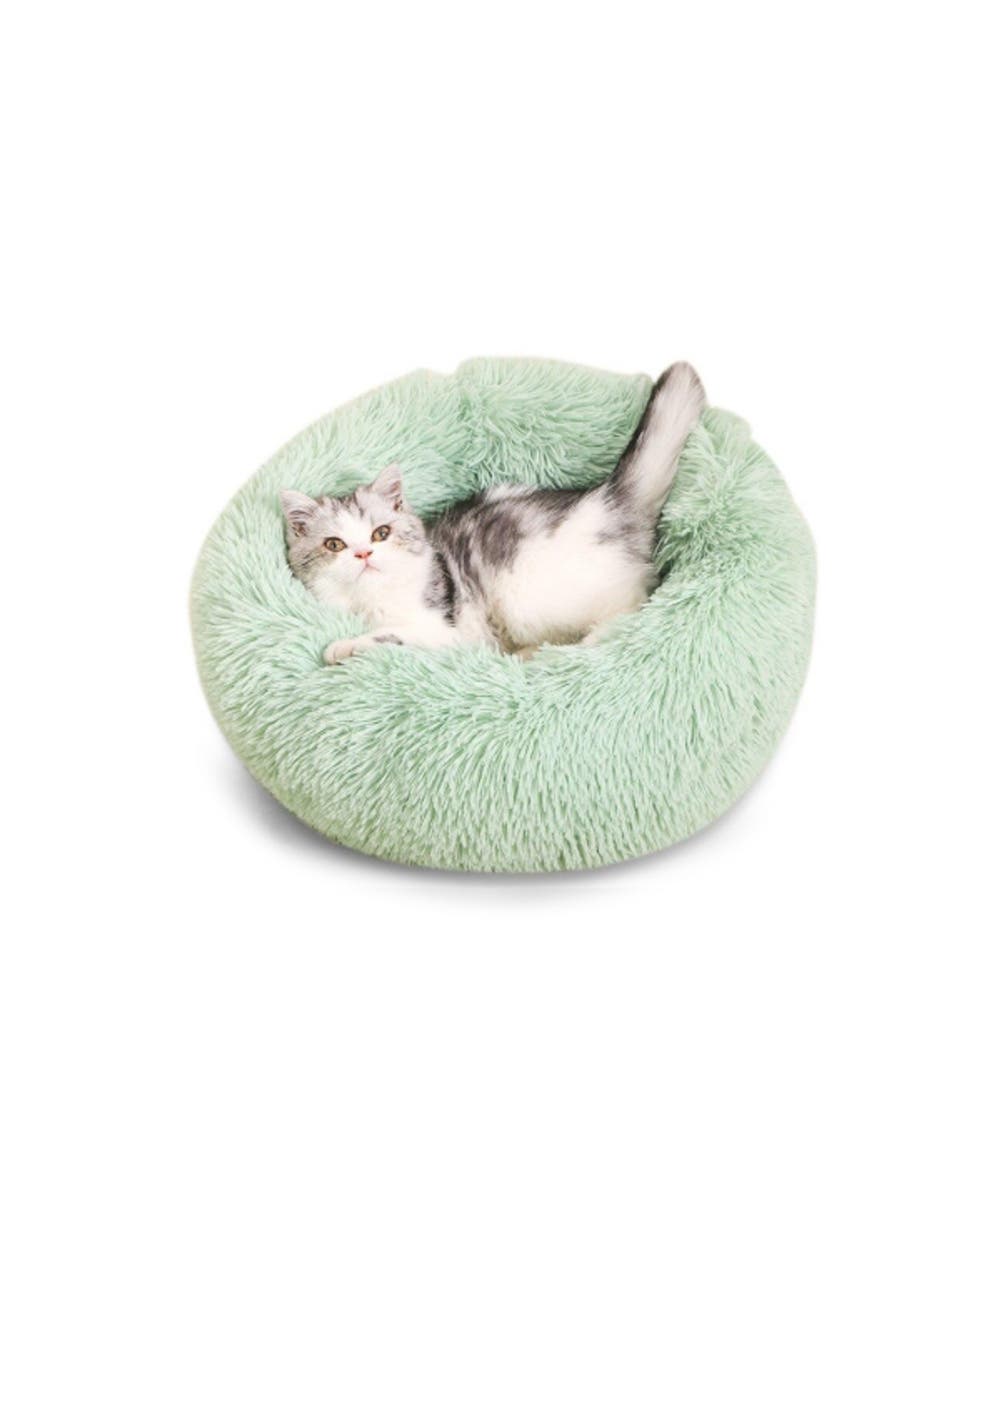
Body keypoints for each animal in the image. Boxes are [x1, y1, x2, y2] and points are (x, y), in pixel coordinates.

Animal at [280, 361, 705, 662]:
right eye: (334, 544)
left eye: (380, 533)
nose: (364, 554)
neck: (369, 605)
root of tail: (606, 498)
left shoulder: (442, 633)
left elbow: (392, 636)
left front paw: (345, 647)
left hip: (527, 597)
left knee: (628, 610)